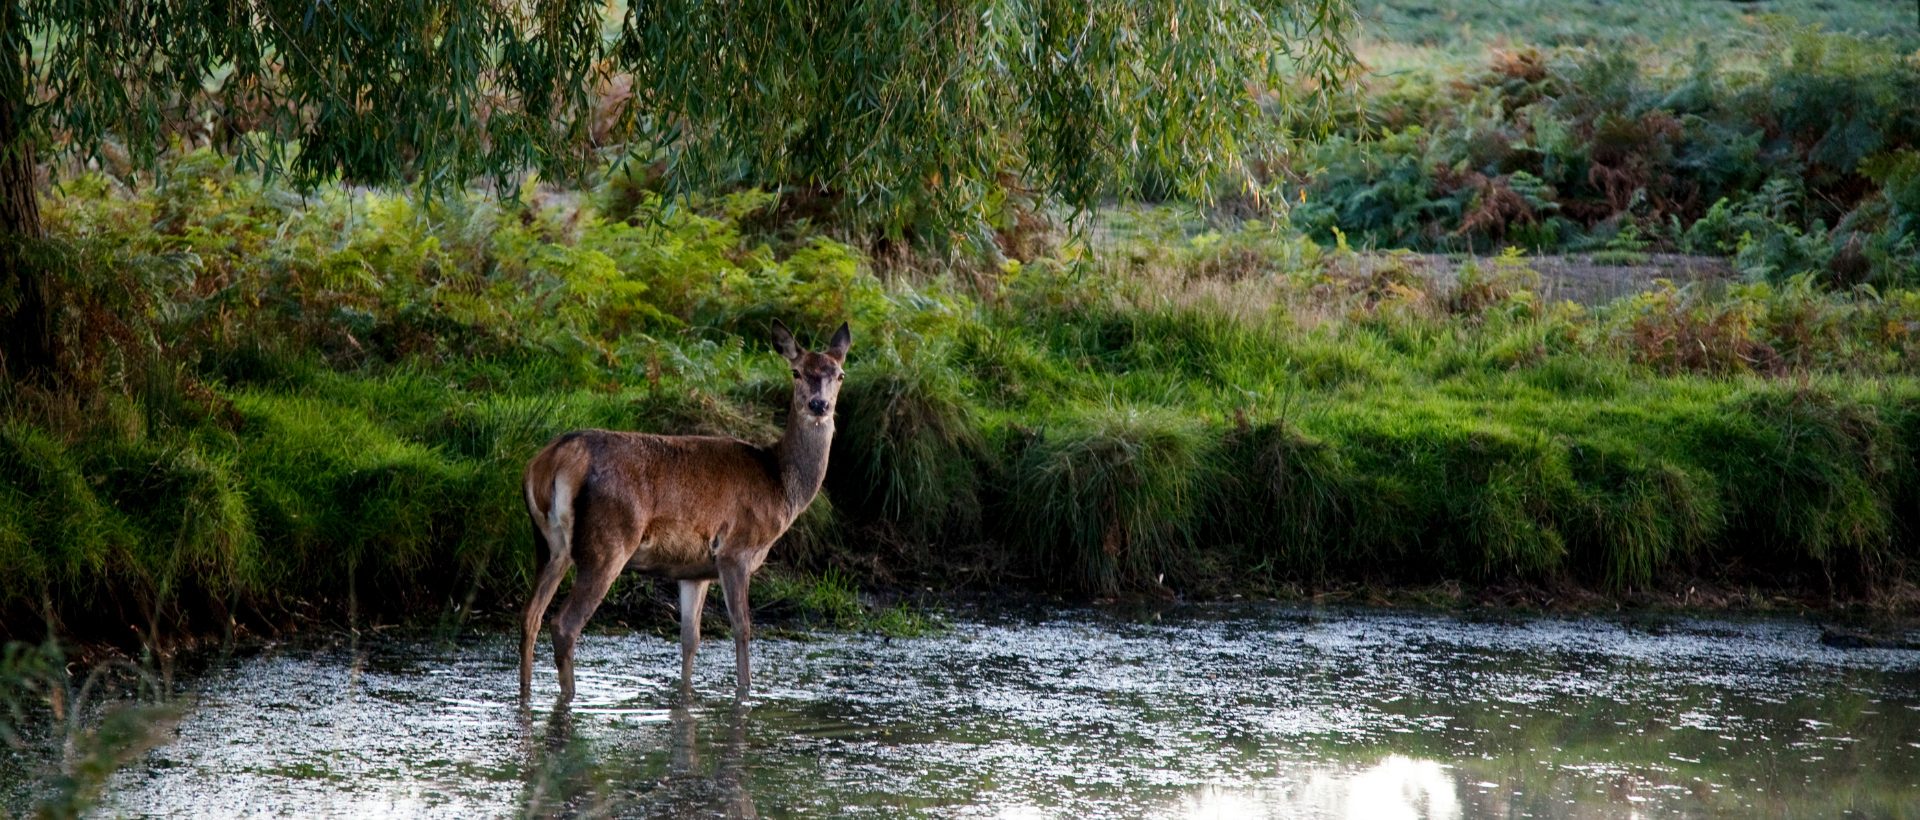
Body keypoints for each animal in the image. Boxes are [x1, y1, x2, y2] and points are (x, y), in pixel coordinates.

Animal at [526, 320, 856, 699]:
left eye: (840, 374)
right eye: (796, 371)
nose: (819, 405)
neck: (779, 486)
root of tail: (554, 459)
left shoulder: (693, 570)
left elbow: (690, 639)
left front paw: (686, 696)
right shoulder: (735, 549)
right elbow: (742, 629)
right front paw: (746, 692)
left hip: (548, 544)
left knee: (530, 617)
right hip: (607, 542)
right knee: (564, 624)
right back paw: (569, 696)